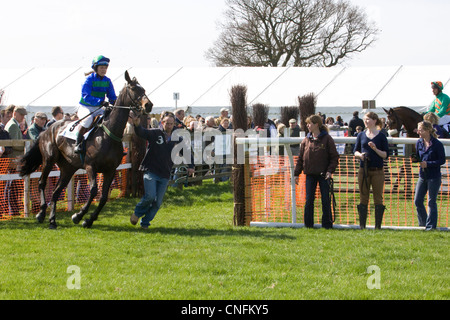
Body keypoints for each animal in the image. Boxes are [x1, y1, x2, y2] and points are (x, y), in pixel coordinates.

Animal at [18, 71, 153, 229]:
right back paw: (41, 213)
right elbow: (94, 190)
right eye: (133, 89)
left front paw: (88, 220)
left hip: (68, 168)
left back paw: (52, 220)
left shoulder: (111, 170)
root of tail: (47, 130)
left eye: (143, 89)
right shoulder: (90, 166)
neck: (108, 134)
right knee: (42, 183)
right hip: (49, 160)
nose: (148, 105)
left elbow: (103, 197)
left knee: (56, 192)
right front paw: (78, 215)